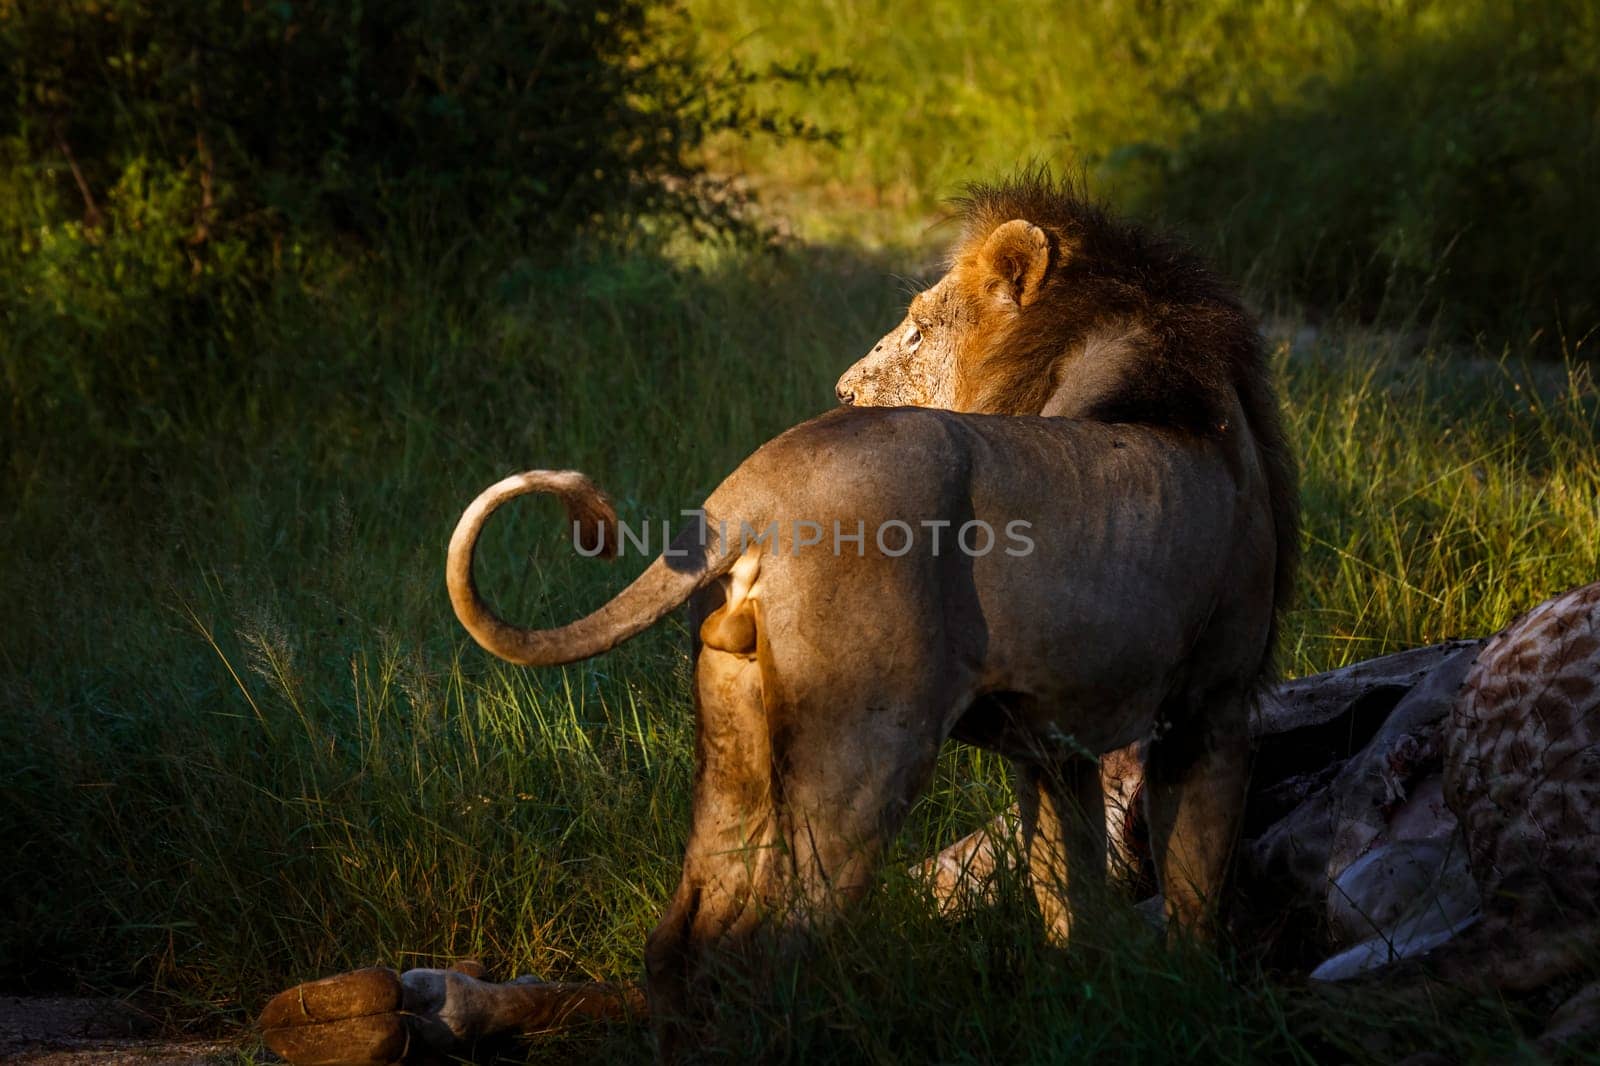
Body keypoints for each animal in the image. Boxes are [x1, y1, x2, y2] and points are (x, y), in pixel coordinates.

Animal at [438, 172, 1299, 1037]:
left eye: (916, 333)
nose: (845, 388)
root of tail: (757, 485)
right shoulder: (1211, 709)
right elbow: (1193, 890)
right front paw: (1193, 1002)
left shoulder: (1055, 743)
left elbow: (1068, 892)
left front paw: (1088, 998)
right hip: (862, 745)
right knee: (762, 946)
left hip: (734, 734)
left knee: (682, 939)